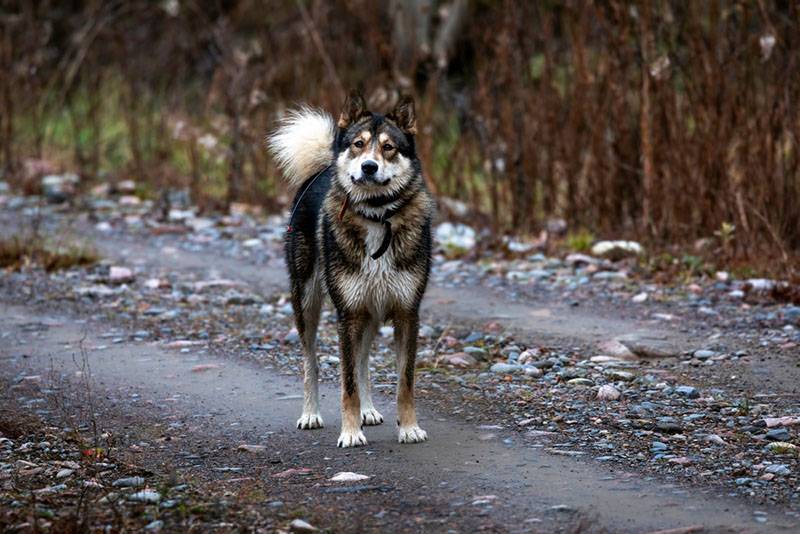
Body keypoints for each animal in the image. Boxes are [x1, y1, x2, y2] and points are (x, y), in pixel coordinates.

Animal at [268, 92, 432, 448]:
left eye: (388, 147)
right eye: (358, 144)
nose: (368, 166)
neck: (376, 217)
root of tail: (321, 169)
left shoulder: (406, 314)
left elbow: (404, 382)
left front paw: (408, 428)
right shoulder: (348, 315)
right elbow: (347, 385)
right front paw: (351, 431)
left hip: (369, 313)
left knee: (362, 361)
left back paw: (368, 411)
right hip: (308, 303)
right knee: (311, 362)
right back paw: (311, 414)